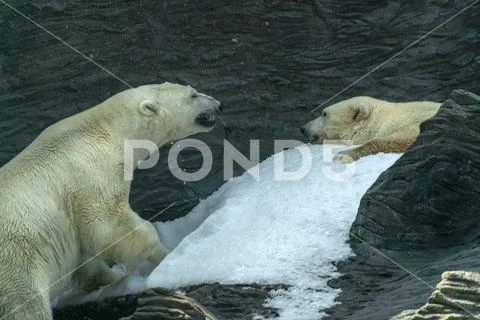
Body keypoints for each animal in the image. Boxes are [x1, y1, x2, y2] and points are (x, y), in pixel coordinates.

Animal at [0, 83, 220, 320]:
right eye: (193, 95)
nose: (218, 104)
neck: (107, 131)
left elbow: (87, 261)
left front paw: (111, 281)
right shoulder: (92, 175)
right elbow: (109, 228)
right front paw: (166, 254)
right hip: (16, 268)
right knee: (26, 306)